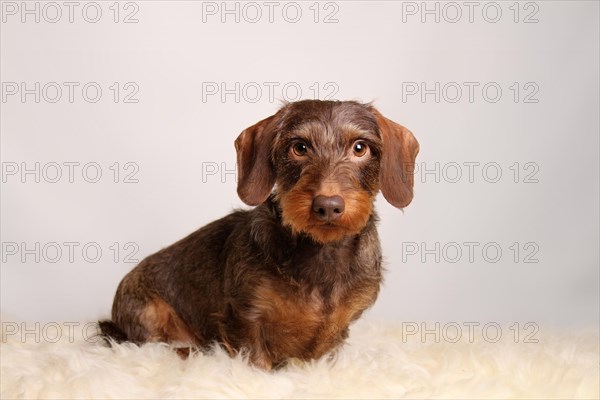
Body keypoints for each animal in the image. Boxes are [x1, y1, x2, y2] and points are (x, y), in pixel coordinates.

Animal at [98, 100, 420, 368]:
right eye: (299, 148)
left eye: (360, 148)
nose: (327, 206)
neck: (321, 252)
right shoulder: (245, 317)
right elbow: (255, 361)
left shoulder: (338, 329)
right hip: (148, 312)